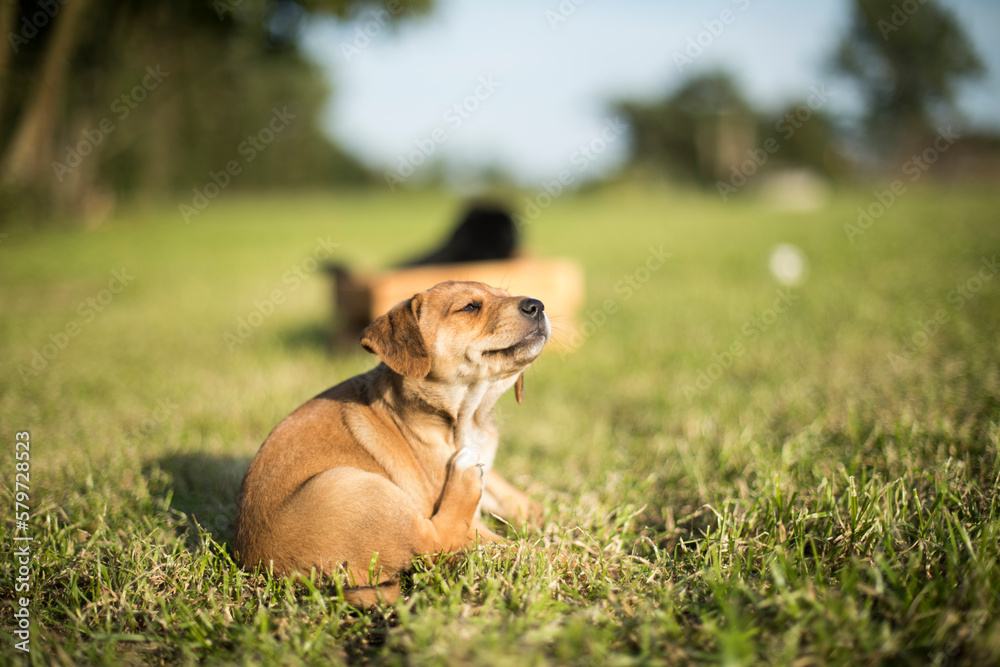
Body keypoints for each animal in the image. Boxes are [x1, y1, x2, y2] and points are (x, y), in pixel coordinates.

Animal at [231, 280, 552, 604]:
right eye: (469, 307)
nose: (537, 305)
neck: (469, 418)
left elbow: (510, 494)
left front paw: (542, 513)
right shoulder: (473, 525)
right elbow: (523, 549)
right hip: (356, 489)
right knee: (437, 543)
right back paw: (464, 476)